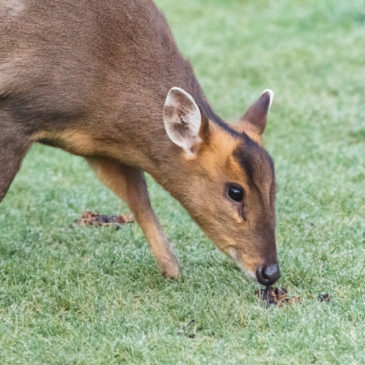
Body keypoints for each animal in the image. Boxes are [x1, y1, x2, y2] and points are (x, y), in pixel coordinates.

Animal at [0, 0, 280, 284]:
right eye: (235, 191)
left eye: (274, 187)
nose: (270, 271)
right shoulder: (16, 113)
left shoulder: (105, 151)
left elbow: (139, 198)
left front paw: (172, 270)